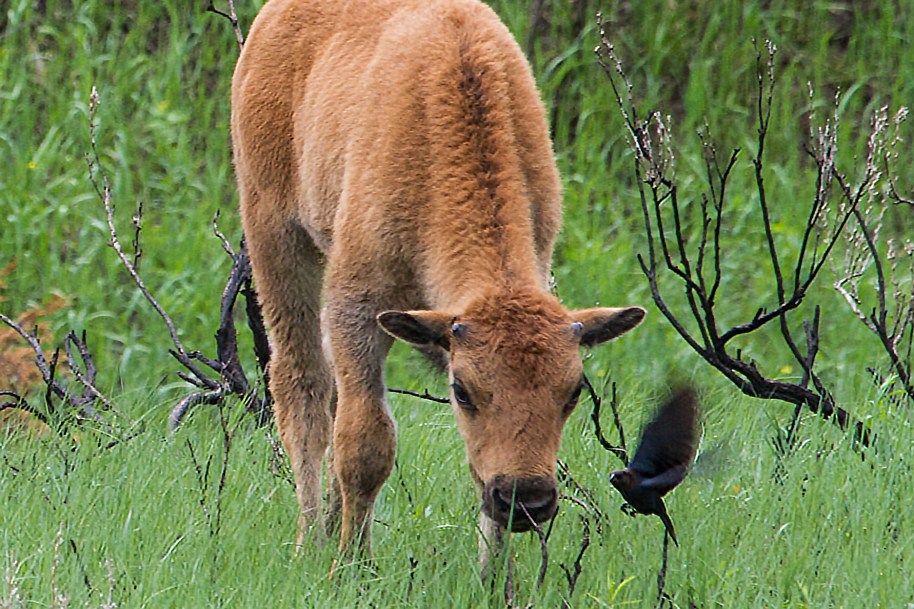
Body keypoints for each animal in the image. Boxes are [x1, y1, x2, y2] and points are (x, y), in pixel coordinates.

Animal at [230, 0, 645, 570]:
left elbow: (471, 464)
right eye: (462, 391)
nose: (526, 499)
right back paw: (310, 543)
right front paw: (351, 568)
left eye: (573, 391)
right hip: (276, 237)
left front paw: (496, 577)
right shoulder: (357, 306)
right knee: (303, 388)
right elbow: (366, 443)